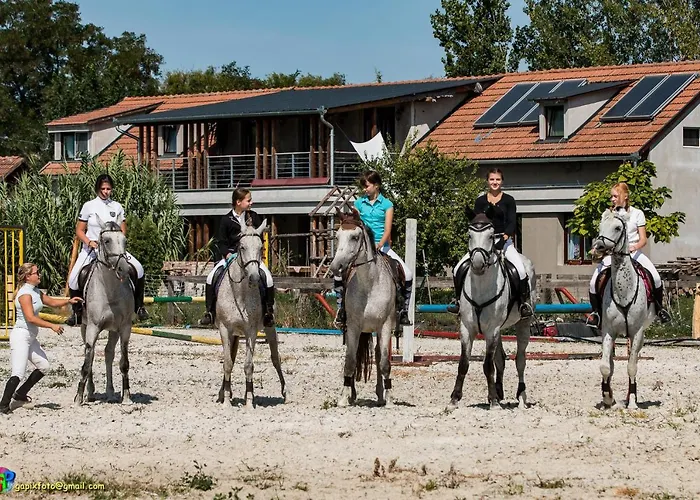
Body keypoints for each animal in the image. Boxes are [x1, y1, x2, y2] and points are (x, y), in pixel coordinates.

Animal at [75, 216, 135, 405]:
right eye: (107, 241)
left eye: (124, 240)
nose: (124, 269)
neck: (110, 290)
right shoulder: (93, 328)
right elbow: (87, 362)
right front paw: (78, 397)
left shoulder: (124, 328)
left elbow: (124, 362)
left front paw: (127, 396)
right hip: (84, 327)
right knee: (92, 353)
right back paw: (90, 392)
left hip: (113, 330)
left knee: (108, 353)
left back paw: (109, 392)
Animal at [215, 219, 286, 408]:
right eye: (242, 247)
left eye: (261, 247)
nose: (254, 277)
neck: (240, 293)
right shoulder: (224, 329)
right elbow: (227, 363)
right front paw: (226, 400)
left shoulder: (251, 331)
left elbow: (249, 365)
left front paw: (249, 400)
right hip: (234, 333)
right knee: (232, 358)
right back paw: (223, 393)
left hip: (270, 327)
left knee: (275, 357)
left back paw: (284, 391)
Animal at [329, 208, 399, 407]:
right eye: (337, 236)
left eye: (354, 237)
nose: (336, 267)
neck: (370, 283)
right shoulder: (353, 327)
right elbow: (350, 361)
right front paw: (344, 397)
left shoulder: (385, 326)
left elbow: (384, 363)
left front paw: (390, 398)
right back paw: (352, 394)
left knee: (378, 355)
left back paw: (381, 394)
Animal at [447, 208, 535, 411]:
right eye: (469, 235)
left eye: (490, 236)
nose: (478, 265)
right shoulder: (467, 328)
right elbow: (463, 363)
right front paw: (454, 399)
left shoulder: (491, 329)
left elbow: (488, 365)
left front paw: (493, 401)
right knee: (500, 359)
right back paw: (499, 391)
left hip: (522, 323)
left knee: (520, 360)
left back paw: (521, 397)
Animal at [590, 208, 656, 410]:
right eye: (600, 226)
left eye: (618, 228)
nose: (598, 248)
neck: (624, 291)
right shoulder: (608, 331)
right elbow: (605, 366)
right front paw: (607, 398)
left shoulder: (637, 332)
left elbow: (632, 366)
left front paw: (633, 401)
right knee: (610, 363)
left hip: (638, 336)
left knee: (632, 359)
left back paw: (629, 398)